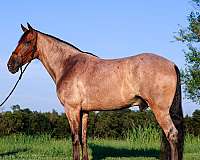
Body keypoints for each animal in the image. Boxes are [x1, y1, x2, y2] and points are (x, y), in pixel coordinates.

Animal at [7, 23, 184, 160]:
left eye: (28, 41)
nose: (10, 65)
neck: (68, 65)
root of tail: (172, 64)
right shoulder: (84, 112)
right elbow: (84, 138)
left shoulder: (71, 110)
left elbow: (75, 139)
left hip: (160, 111)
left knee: (172, 135)